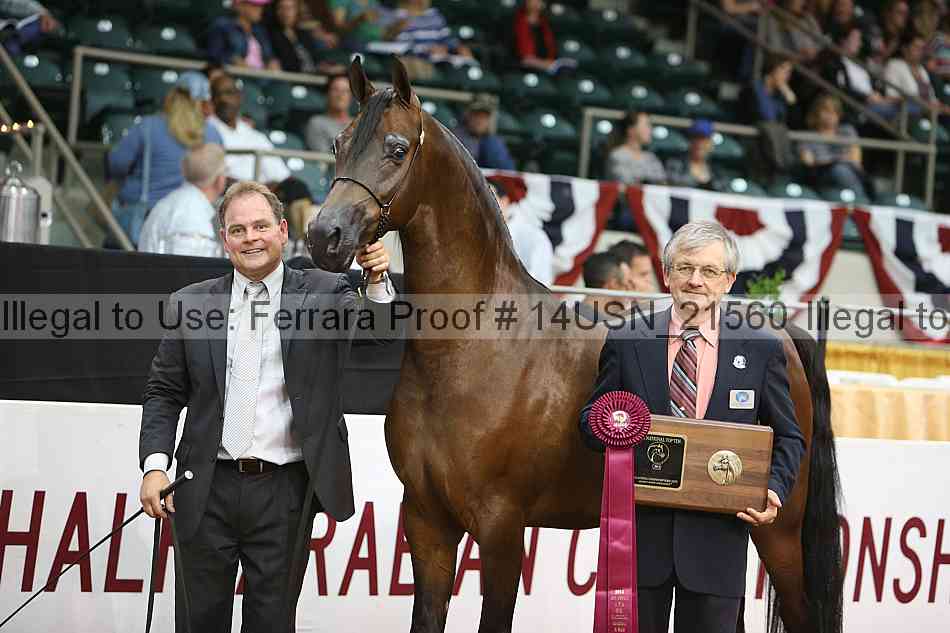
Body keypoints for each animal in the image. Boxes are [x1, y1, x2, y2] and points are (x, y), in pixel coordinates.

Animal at [308, 57, 843, 633]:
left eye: (397, 148)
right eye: (338, 143)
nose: (323, 236)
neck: (471, 349)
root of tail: (786, 335)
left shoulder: (502, 529)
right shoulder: (428, 524)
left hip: (778, 532)